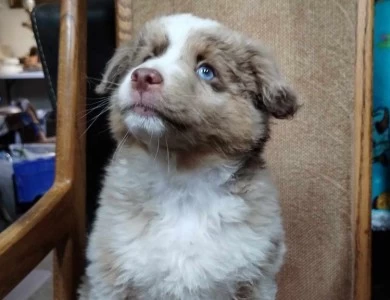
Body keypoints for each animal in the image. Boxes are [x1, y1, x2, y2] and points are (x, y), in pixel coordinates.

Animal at [79, 12, 298, 298]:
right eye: (148, 57)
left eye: (206, 71)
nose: (143, 76)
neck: (181, 180)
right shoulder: (108, 277)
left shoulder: (256, 280)